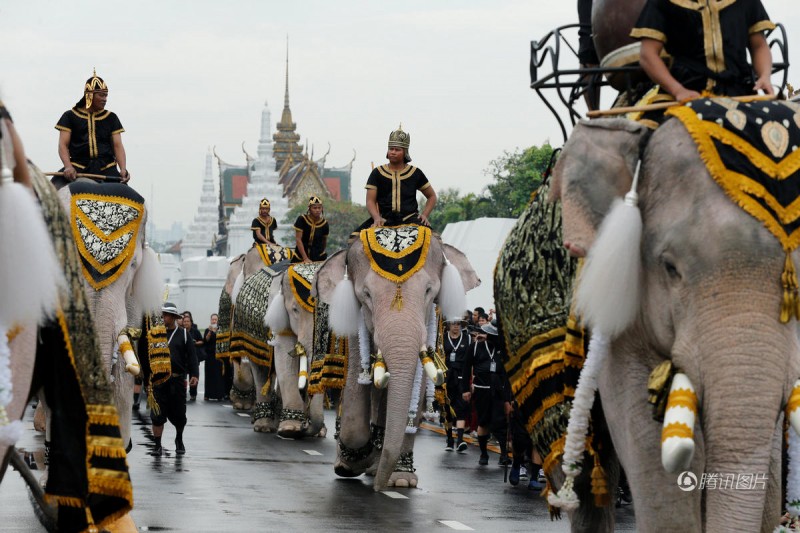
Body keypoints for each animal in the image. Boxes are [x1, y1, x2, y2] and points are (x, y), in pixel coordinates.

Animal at [312, 222, 476, 488]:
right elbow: (357, 384)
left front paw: (400, 481)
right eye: (366, 294)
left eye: (429, 291)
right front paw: (351, 464)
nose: (378, 489)